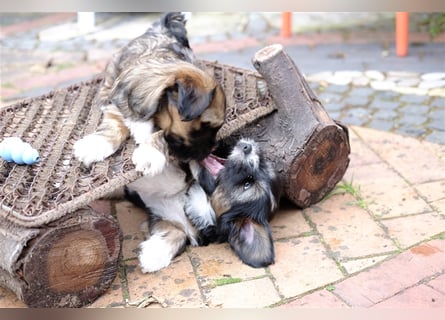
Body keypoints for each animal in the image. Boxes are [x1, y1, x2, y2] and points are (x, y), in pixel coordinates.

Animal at [74, 11, 225, 175]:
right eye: (204, 127)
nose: (212, 150)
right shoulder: (119, 104)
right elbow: (113, 124)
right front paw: (96, 144)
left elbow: (160, 133)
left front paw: (150, 154)